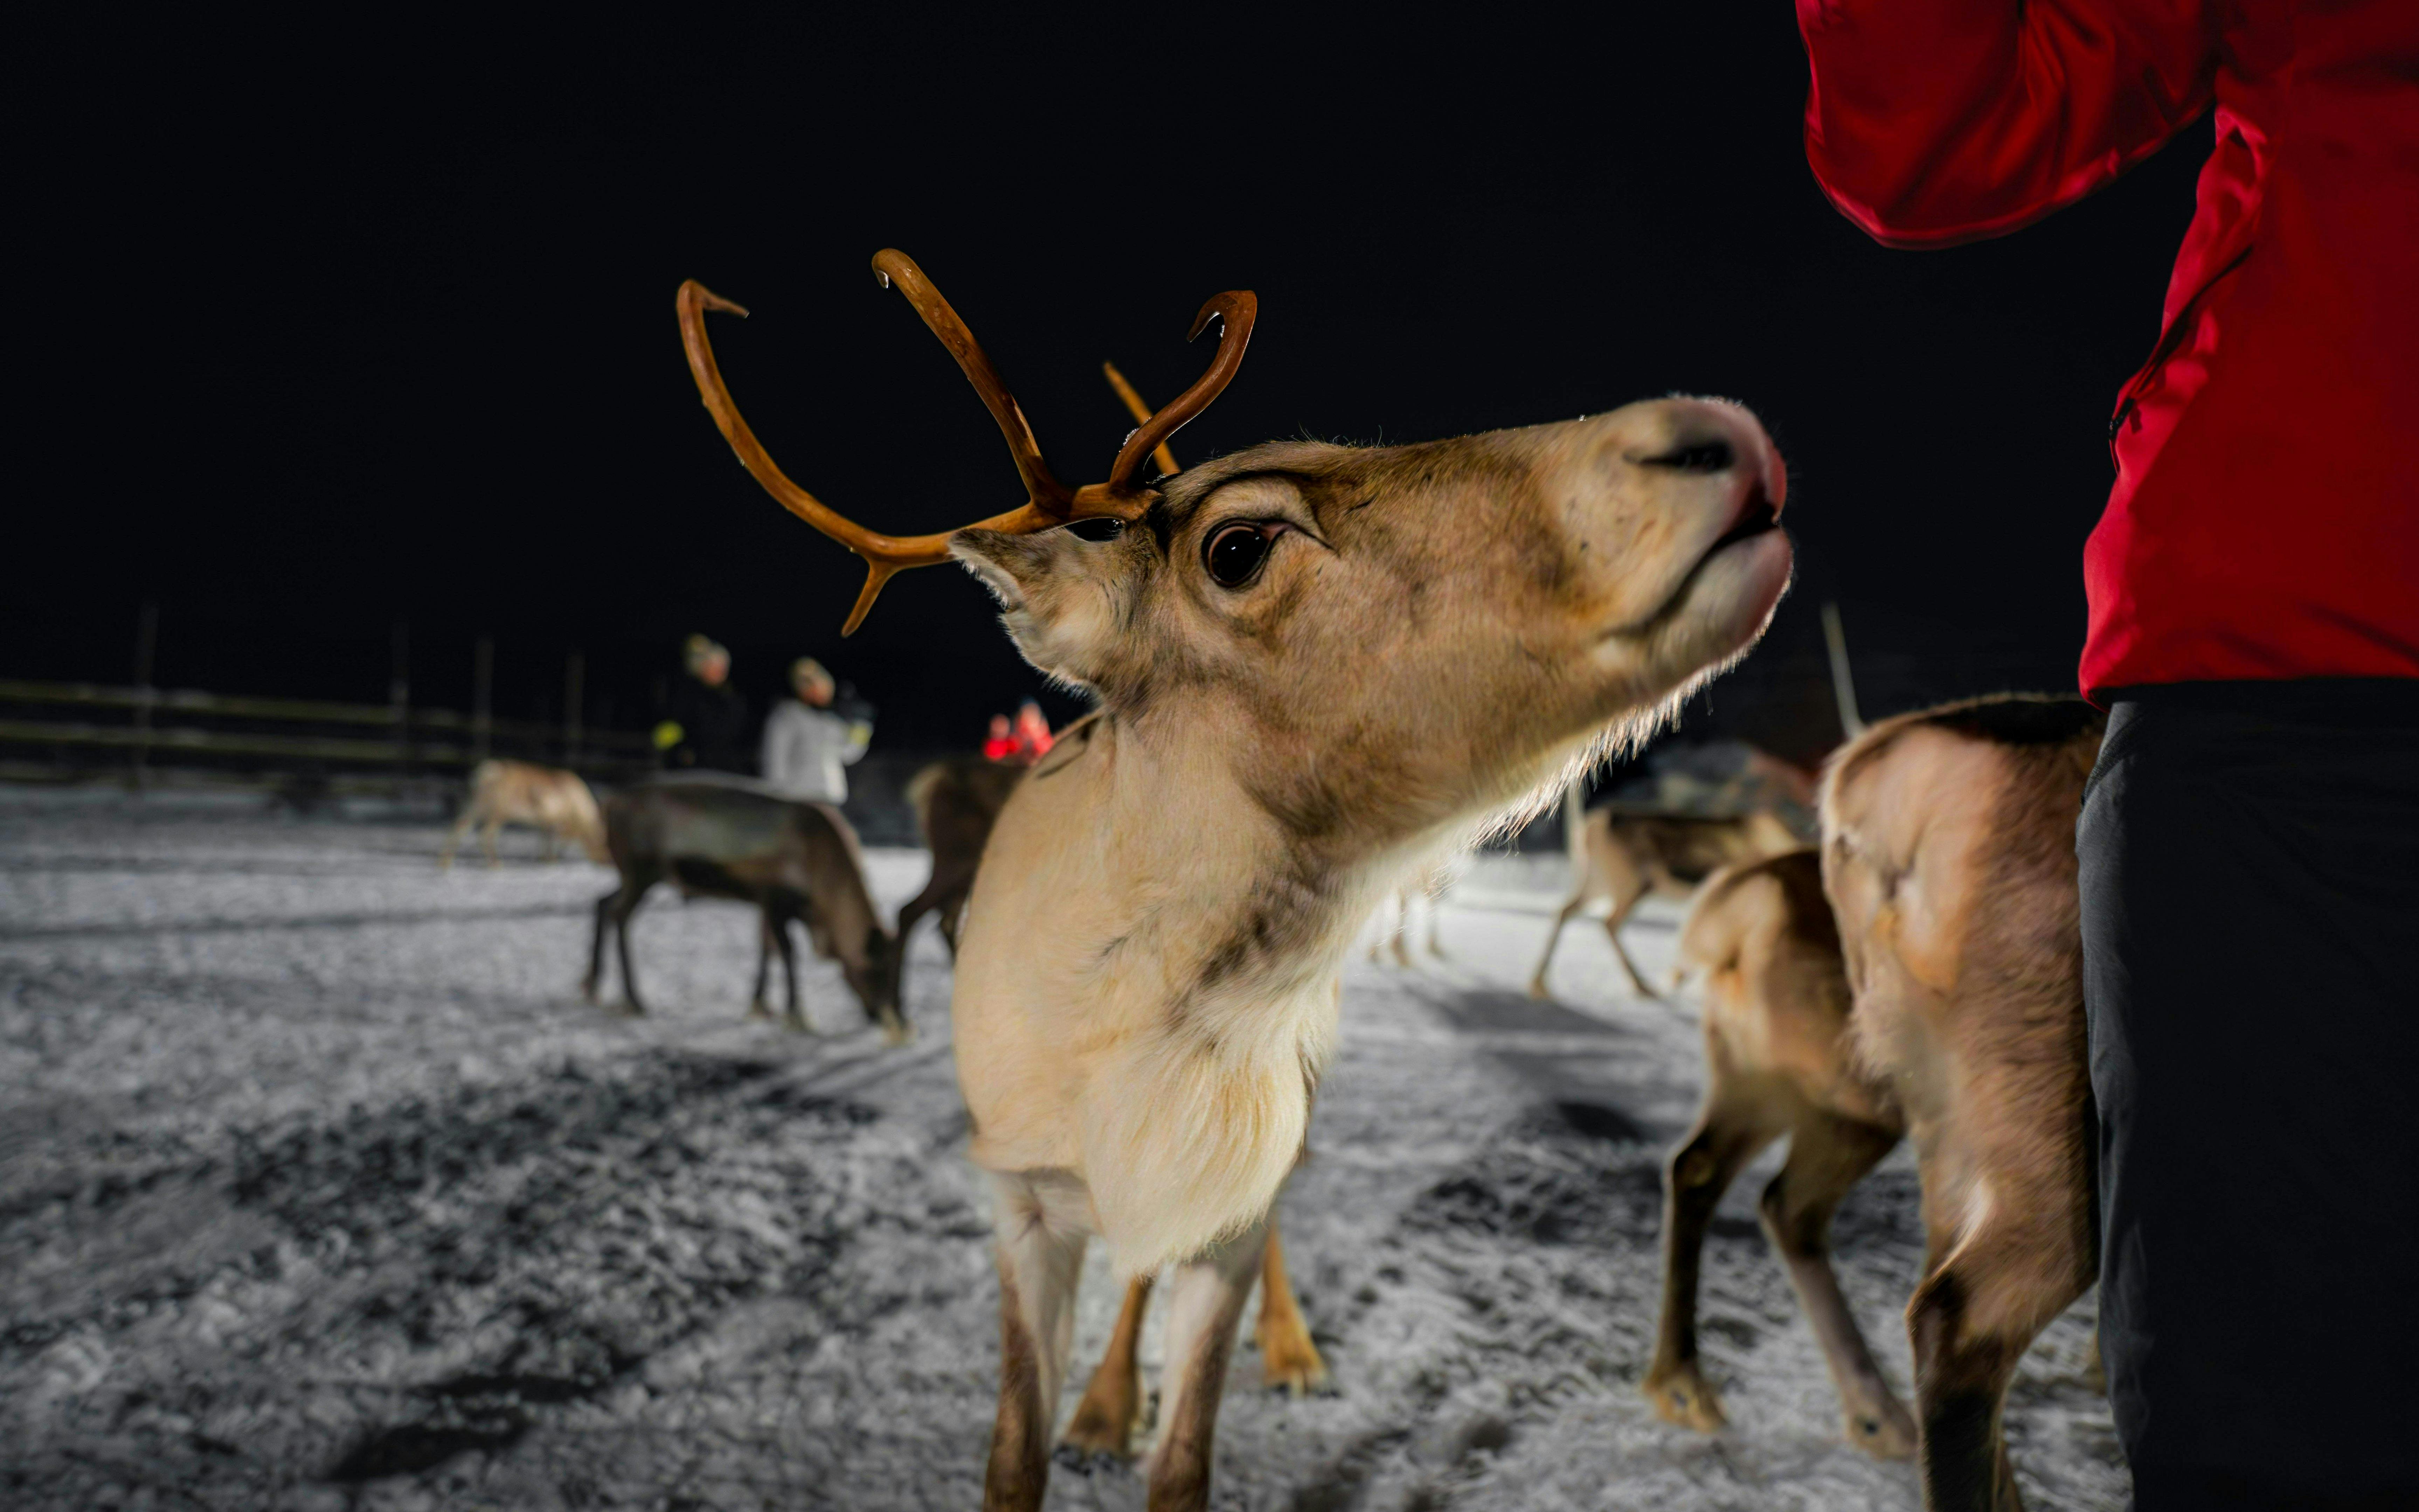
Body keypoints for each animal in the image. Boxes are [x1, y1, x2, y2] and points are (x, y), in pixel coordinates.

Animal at [438, 758, 608, 870]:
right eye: (603, 844)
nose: (604, 862)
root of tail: (481, 774)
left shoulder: (546, 820)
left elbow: (545, 838)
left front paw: (543, 858)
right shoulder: (555, 818)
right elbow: (553, 840)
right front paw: (551, 860)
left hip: (475, 806)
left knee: (459, 826)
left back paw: (446, 863)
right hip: (497, 810)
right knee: (486, 834)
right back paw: (495, 864)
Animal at [582, 776, 904, 1042]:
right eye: (878, 971)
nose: (879, 1016)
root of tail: (610, 803)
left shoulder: (767, 903)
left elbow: (766, 947)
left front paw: (761, 1003)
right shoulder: (776, 899)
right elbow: (787, 952)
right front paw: (796, 1015)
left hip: (636, 876)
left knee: (603, 902)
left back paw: (592, 985)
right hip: (643, 871)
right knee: (621, 915)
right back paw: (634, 999)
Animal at [1528, 803, 1801, 999]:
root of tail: (1589, 829)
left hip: (1598, 884)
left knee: (1564, 911)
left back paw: (1539, 983)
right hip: (1630, 886)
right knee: (1608, 923)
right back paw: (1641, 986)